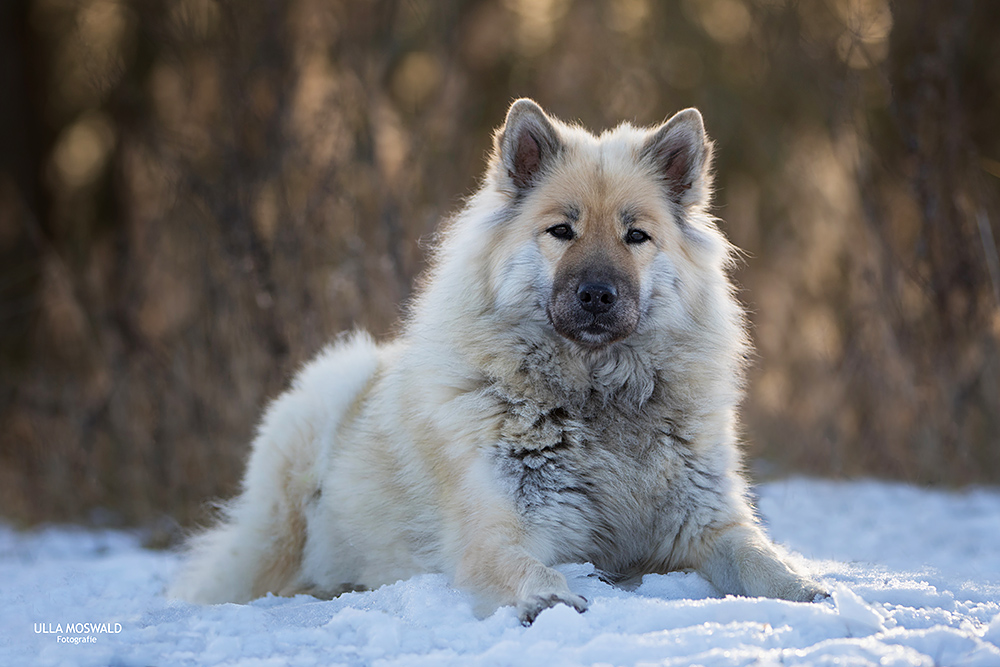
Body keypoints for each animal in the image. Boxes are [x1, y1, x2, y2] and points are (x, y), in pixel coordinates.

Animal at [170, 99, 828, 628]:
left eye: (635, 236)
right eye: (561, 230)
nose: (596, 294)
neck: (598, 400)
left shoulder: (705, 522)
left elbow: (757, 555)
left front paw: (809, 589)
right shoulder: (500, 528)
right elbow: (518, 566)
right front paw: (550, 599)